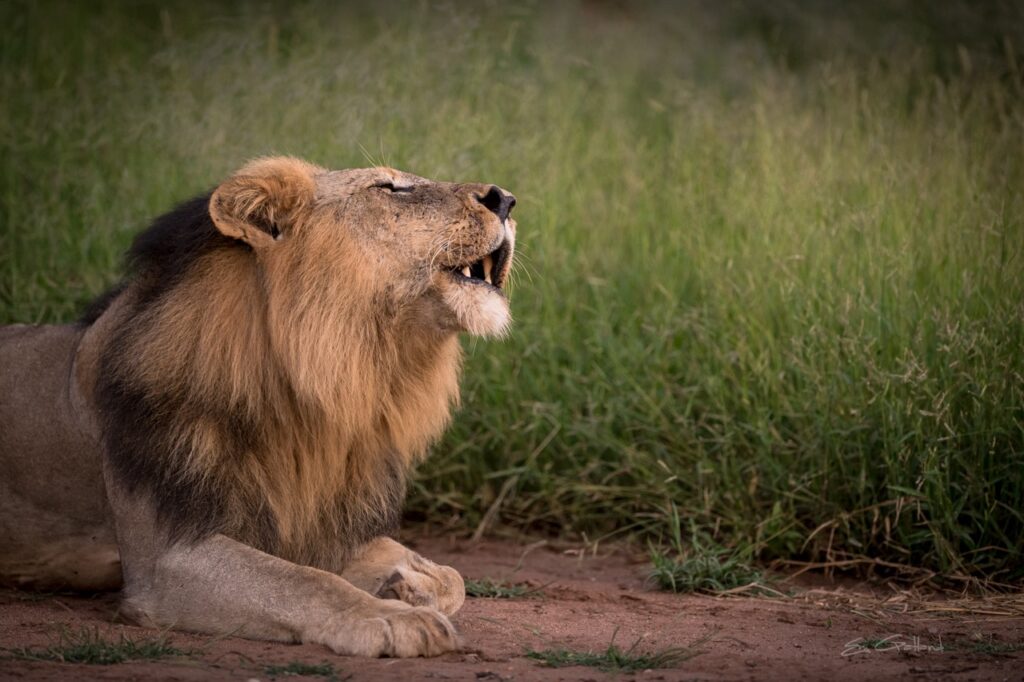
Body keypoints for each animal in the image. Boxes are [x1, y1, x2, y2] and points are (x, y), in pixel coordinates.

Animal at [0, 157, 517, 657]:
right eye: (389, 188)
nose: (506, 199)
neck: (310, 393)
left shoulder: (314, 525)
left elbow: (453, 578)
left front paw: (405, 583)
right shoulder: (164, 559)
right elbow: (304, 582)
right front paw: (392, 617)